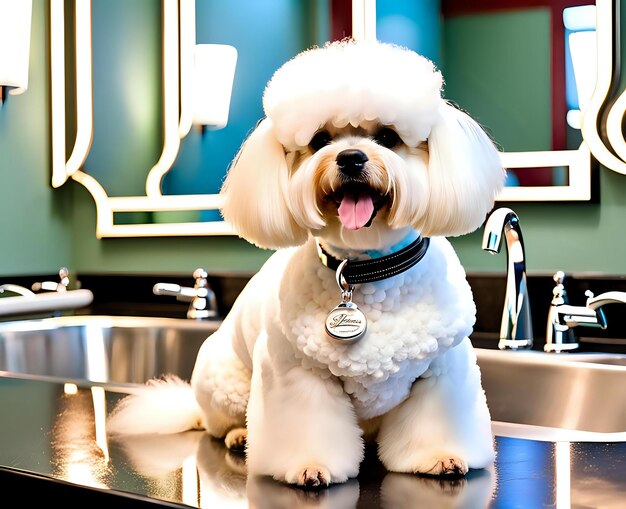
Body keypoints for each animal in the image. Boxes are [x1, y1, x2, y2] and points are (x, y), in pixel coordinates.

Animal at [109, 38, 504, 484]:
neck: (365, 271)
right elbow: (307, 427)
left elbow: (434, 422)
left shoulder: (441, 372)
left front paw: (440, 456)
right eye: (320, 140)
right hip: (224, 382)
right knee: (218, 423)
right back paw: (238, 436)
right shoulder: (297, 373)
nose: (350, 157)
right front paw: (309, 465)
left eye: (387, 136)